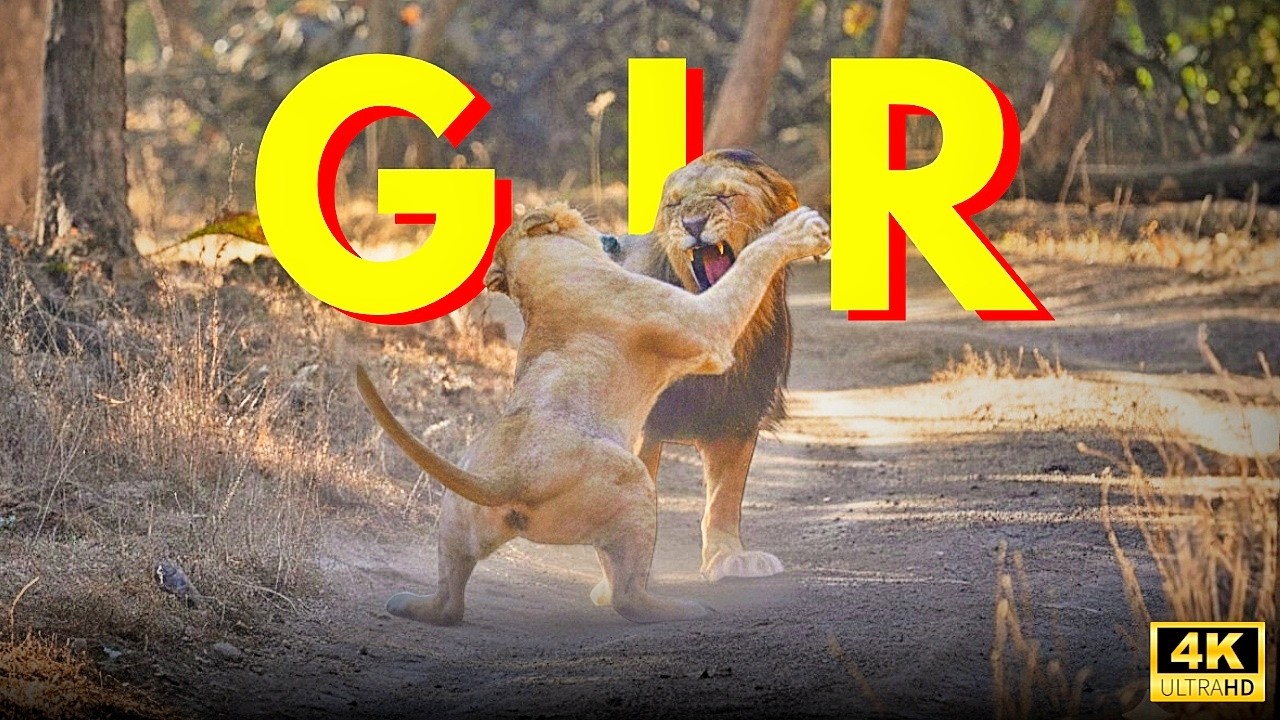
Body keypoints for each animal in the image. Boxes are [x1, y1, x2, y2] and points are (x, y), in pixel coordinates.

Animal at [358, 202, 830, 625]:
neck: (541, 284)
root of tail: (507, 480)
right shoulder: (704, 326)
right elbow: (750, 262)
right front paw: (797, 230)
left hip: (454, 517)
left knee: (449, 600)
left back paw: (405, 604)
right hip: (634, 481)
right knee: (628, 597)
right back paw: (683, 609)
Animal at [613, 149, 804, 587]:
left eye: (724, 196)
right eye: (675, 205)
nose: (693, 225)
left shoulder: (737, 416)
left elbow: (725, 497)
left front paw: (729, 557)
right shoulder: (643, 422)